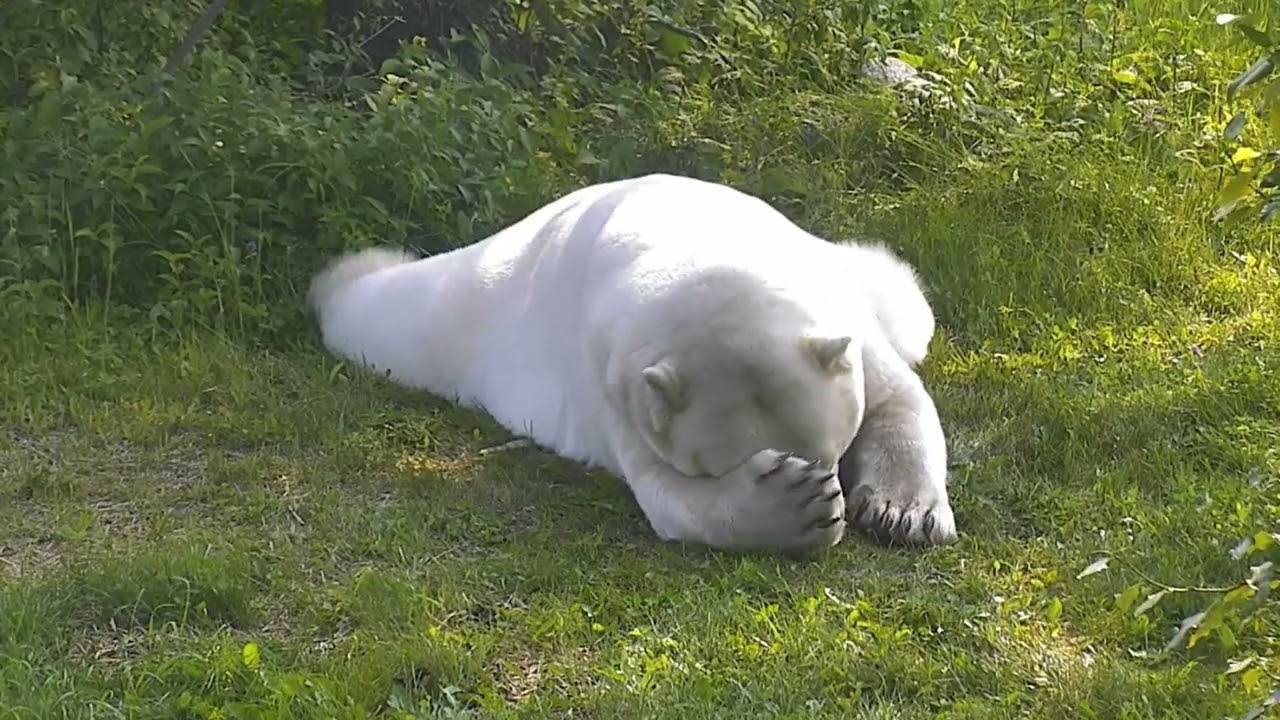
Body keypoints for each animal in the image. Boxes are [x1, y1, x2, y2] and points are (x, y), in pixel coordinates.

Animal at [308, 173, 956, 552]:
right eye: (717, 468)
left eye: (835, 450)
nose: (832, 484)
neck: (703, 253)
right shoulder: (619, 391)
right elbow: (667, 496)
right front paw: (797, 503)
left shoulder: (834, 308)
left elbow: (898, 399)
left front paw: (904, 513)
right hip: (461, 317)